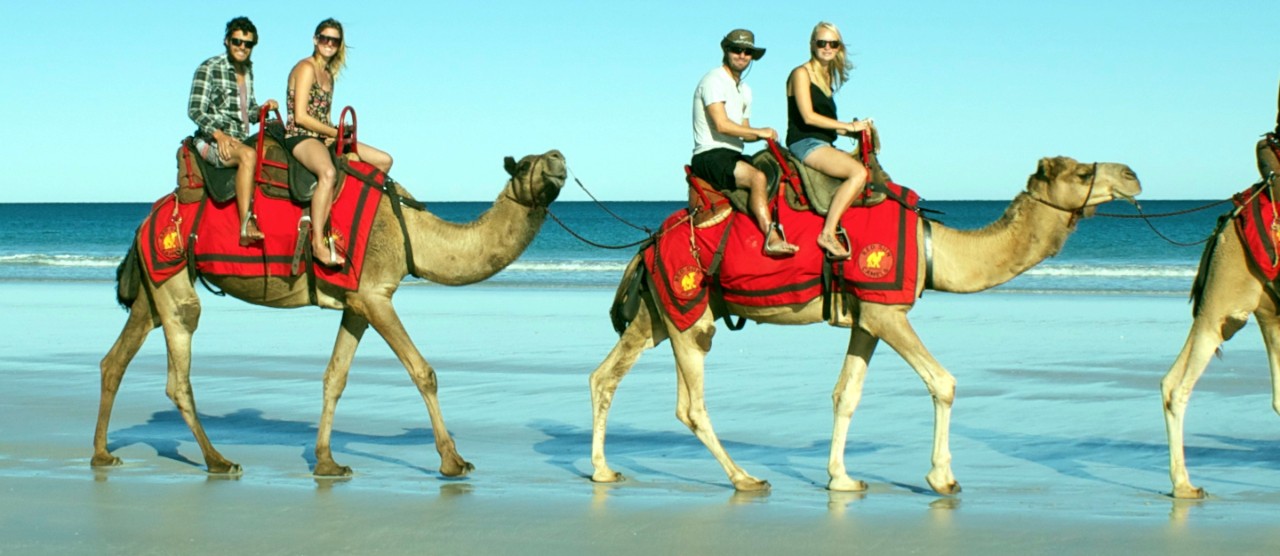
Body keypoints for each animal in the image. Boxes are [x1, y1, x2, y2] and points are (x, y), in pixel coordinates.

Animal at [92, 150, 566, 478]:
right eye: (527, 164)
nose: (559, 158)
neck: (411, 234)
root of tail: (145, 221)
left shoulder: (358, 302)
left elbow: (334, 377)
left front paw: (327, 463)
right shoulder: (376, 295)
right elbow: (423, 372)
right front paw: (453, 461)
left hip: (155, 286)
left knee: (116, 359)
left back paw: (102, 454)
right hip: (173, 282)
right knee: (179, 371)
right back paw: (219, 461)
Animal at [589, 156, 1141, 494]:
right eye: (1083, 171)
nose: (1133, 175)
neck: (933, 248)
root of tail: (647, 244)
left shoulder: (867, 319)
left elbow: (845, 394)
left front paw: (841, 478)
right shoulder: (886, 311)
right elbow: (943, 382)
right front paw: (943, 479)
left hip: (660, 310)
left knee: (605, 376)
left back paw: (602, 470)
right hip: (689, 312)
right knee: (691, 405)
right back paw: (745, 478)